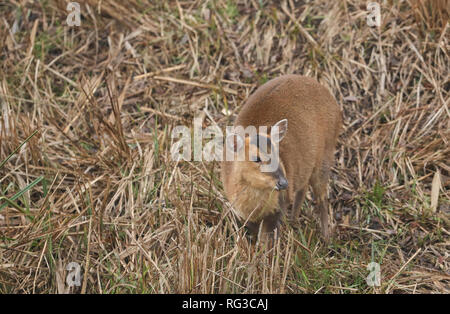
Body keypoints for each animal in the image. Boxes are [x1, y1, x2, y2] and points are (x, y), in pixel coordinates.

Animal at [221, 73, 342, 240]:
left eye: (277, 152)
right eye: (256, 158)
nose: (284, 183)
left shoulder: (277, 210)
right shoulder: (243, 215)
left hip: (326, 153)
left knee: (322, 196)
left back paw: (326, 238)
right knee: (304, 187)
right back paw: (294, 222)